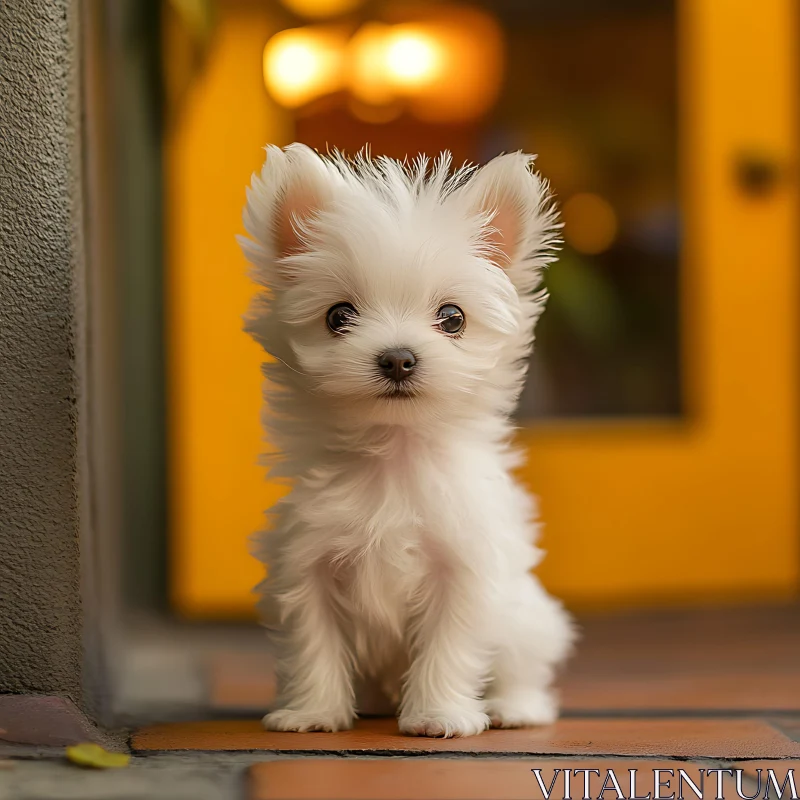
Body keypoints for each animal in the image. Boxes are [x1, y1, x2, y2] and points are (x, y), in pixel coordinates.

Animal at [238, 142, 576, 736]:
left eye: (452, 317)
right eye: (339, 316)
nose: (397, 358)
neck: (392, 456)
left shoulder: (463, 570)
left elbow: (449, 645)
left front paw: (439, 714)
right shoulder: (306, 567)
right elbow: (313, 644)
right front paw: (312, 712)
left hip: (529, 622)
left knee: (524, 669)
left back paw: (514, 708)